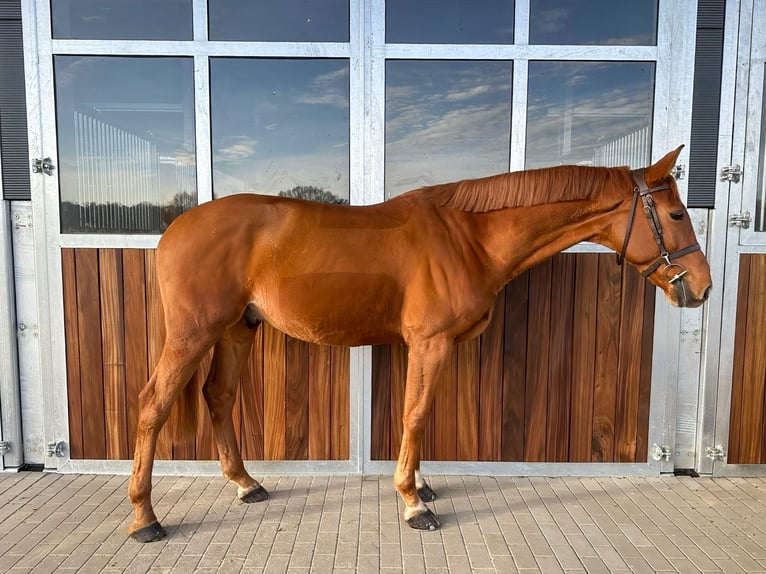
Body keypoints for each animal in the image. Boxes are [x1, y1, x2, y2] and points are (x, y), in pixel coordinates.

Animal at [127, 146, 711, 542]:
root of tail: (175, 228)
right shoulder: (430, 343)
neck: (467, 236)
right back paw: (144, 517)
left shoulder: (433, 347)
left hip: (236, 329)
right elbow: (416, 413)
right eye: (677, 214)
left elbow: (419, 414)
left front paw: (422, 485)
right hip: (193, 333)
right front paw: (413, 504)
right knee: (153, 405)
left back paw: (246, 484)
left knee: (218, 397)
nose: (702, 288)